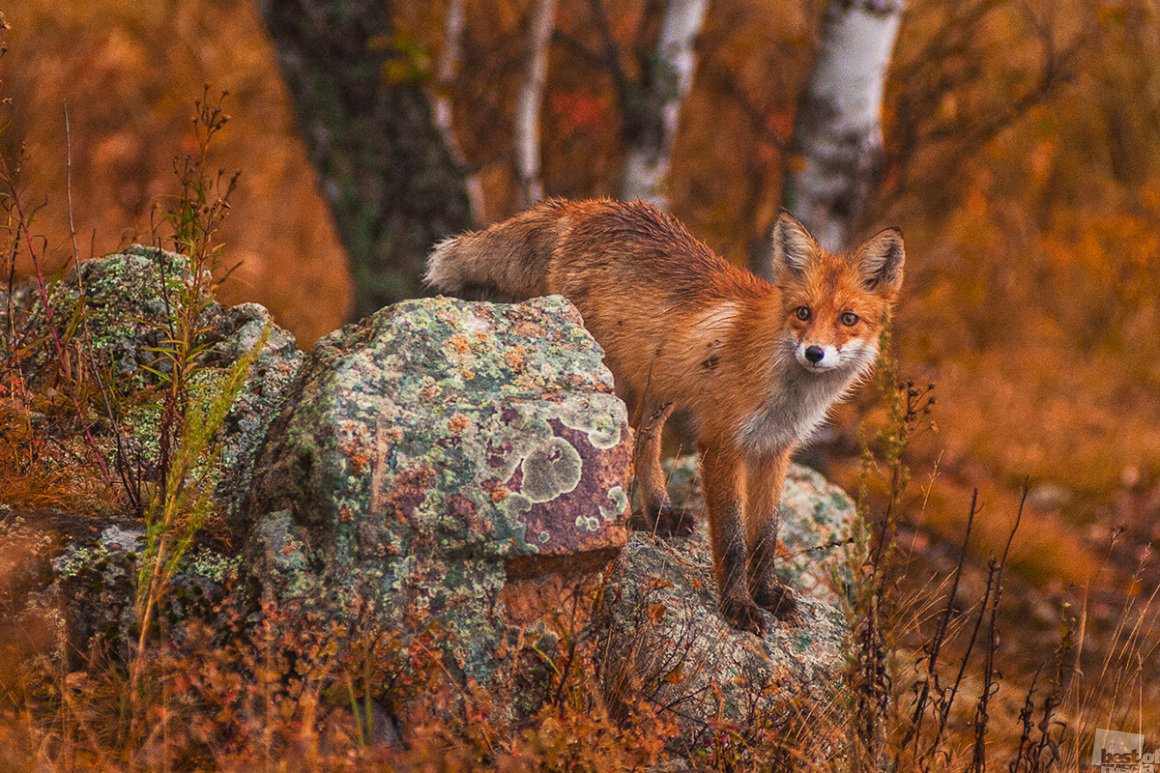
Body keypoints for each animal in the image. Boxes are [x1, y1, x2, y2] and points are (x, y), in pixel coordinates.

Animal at [424, 199, 904, 634]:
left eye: (848, 319)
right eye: (803, 313)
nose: (814, 353)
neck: (786, 393)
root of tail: (586, 206)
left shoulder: (774, 451)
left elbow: (765, 538)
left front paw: (766, 593)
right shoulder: (722, 445)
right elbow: (733, 540)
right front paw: (737, 606)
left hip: (660, 387)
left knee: (644, 438)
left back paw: (658, 511)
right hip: (606, 374)